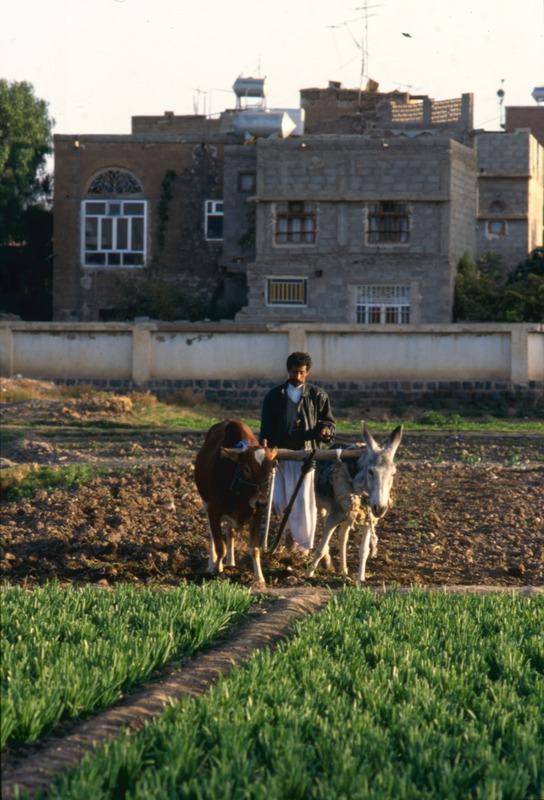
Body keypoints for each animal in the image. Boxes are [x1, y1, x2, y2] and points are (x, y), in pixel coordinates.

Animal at [194, 419, 278, 586]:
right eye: (247, 468)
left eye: (269, 470)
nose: (261, 501)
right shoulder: (213, 510)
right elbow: (220, 546)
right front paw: (216, 569)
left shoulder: (257, 513)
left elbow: (254, 548)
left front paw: (259, 578)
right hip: (205, 503)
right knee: (213, 535)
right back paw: (213, 563)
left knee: (229, 530)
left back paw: (231, 561)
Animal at [306, 422, 403, 583]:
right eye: (371, 471)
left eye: (394, 473)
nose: (380, 508)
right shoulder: (335, 515)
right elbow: (321, 546)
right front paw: (309, 574)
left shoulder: (368, 518)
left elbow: (364, 550)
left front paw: (360, 578)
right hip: (321, 506)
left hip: (348, 514)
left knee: (342, 537)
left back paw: (344, 569)